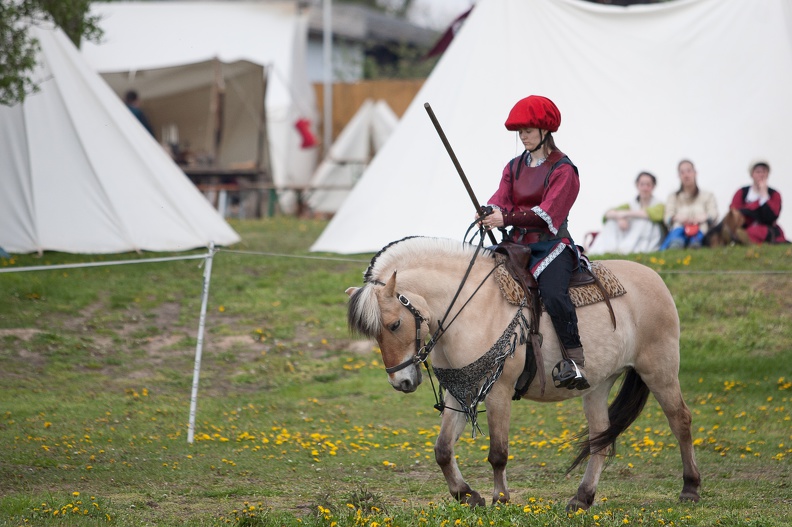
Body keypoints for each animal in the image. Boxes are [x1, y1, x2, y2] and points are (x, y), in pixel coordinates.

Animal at [344, 238, 704, 512]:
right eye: (375, 332)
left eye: (394, 324)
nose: (401, 381)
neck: (469, 307)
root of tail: (655, 278)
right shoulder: (460, 391)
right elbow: (443, 450)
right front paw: (467, 495)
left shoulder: (498, 391)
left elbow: (498, 453)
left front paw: (500, 499)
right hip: (598, 385)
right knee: (600, 438)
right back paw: (582, 498)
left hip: (659, 369)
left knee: (680, 420)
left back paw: (690, 488)